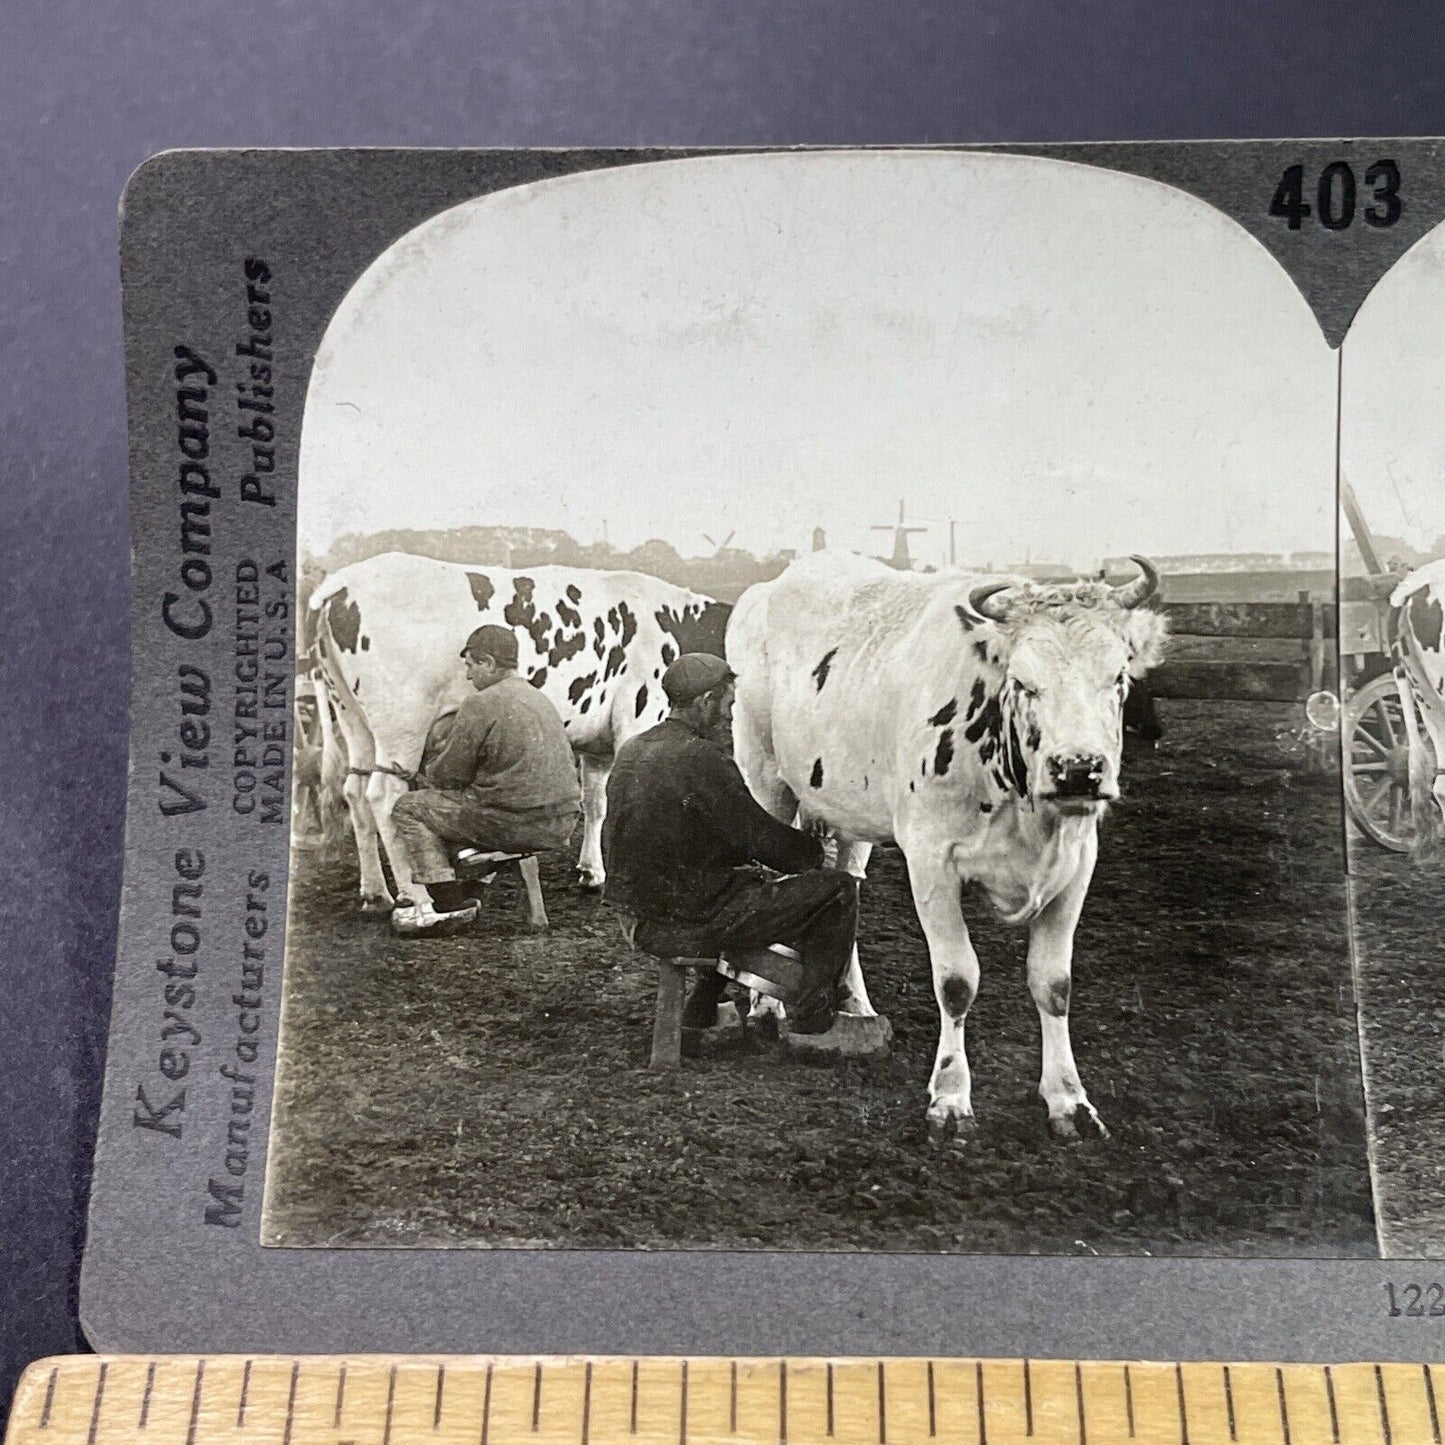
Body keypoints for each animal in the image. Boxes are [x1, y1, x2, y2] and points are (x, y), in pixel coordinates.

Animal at [309, 551, 728, 913]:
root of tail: (342, 583)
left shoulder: (598, 744)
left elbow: (596, 802)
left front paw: (592, 873)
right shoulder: (638, 718)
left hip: (351, 716)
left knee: (354, 791)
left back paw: (375, 894)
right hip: (402, 722)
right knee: (384, 796)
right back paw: (419, 898)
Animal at [728, 551, 1167, 1138]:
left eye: (1118, 677)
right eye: (1024, 683)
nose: (1078, 769)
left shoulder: (1077, 864)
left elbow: (1054, 984)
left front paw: (1068, 1099)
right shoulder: (931, 861)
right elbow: (957, 981)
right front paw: (951, 1097)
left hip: (849, 811)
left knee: (847, 882)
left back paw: (856, 1005)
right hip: (764, 779)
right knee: (780, 874)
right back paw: (764, 1008)